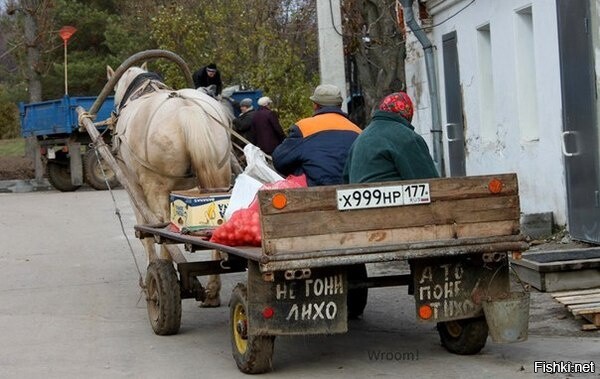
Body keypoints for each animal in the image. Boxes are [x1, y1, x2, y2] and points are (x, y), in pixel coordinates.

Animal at [106, 64, 231, 308]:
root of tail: (186, 110)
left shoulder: (133, 185)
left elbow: (145, 228)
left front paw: (150, 273)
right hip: (220, 178)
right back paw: (212, 291)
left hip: (156, 186)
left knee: (161, 226)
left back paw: (163, 276)